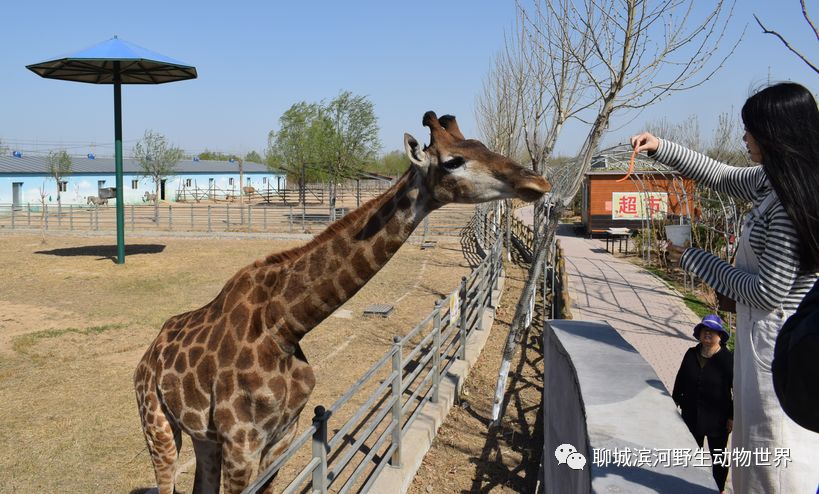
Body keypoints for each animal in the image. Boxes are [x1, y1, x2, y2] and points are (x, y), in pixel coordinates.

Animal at [135, 112, 552, 494]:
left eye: (482, 146)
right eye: (453, 161)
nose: (538, 182)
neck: (284, 325)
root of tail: (147, 357)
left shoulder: (282, 437)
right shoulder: (241, 444)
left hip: (201, 436)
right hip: (157, 424)